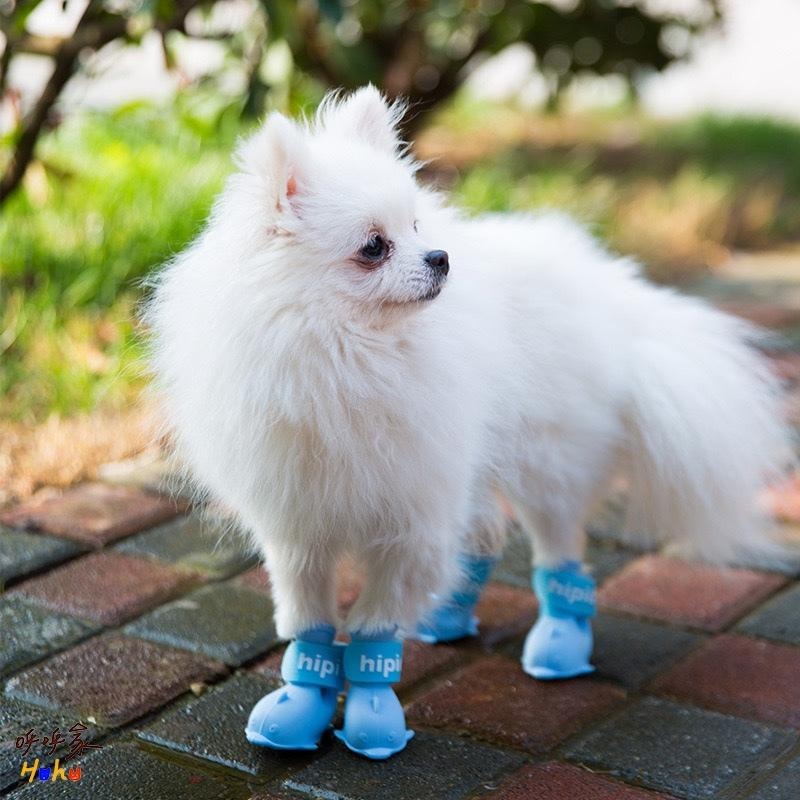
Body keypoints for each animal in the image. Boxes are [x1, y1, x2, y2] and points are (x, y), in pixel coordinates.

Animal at [147, 84, 792, 760]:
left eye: (416, 227)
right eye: (374, 246)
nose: (441, 257)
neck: (347, 357)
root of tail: (613, 299)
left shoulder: (410, 517)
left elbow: (375, 627)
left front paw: (372, 719)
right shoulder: (300, 522)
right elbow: (309, 625)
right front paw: (299, 708)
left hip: (548, 466)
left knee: (559, 551)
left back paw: (559, 645)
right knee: (482, 535)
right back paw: (448, 615)